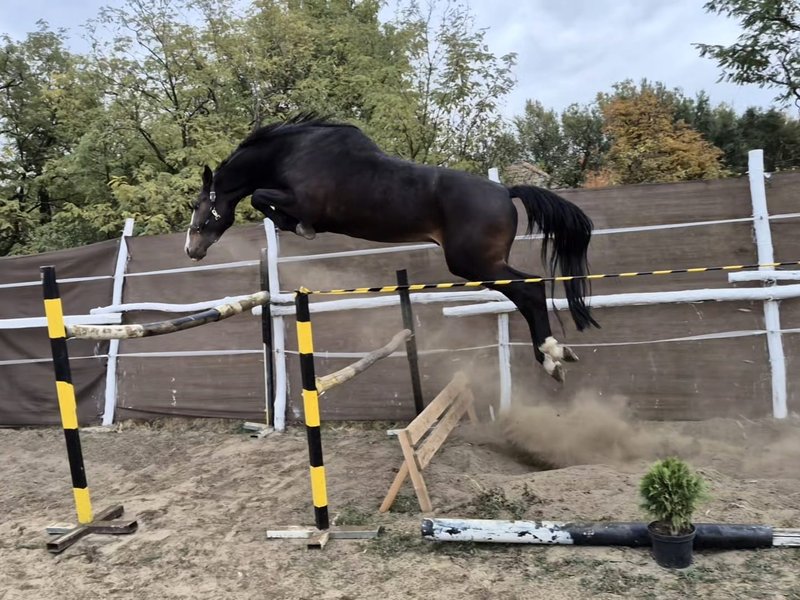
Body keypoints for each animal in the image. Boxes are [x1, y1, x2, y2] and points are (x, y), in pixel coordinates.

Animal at [185, 113, 599, 382]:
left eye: (198, 204)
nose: (192, 248)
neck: (295, 152)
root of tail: (506, 191)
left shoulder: (302, 202)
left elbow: (261, 198)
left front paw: (300, 229)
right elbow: (262, 200)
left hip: (474, 263)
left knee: (529, 289)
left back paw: (552, 357)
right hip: (484, 264)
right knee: (527, 291)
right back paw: (554, 357)